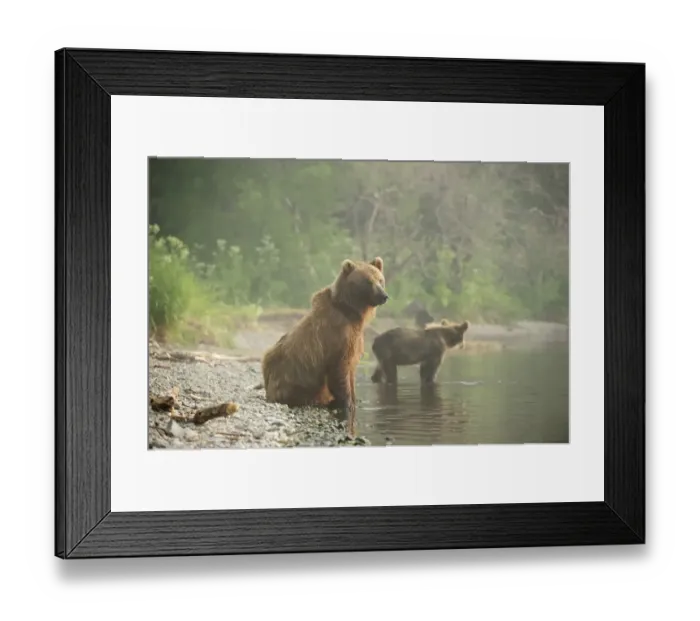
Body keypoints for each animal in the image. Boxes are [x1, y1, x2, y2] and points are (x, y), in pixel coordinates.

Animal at [261, 256, 388, 418]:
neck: (351, 312)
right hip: (292, 379)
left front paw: (354, 399)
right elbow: (340, 369)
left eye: (380, 280)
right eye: (367, 281)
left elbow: (351, 371)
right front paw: (347, 403)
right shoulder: (337, 337)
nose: (383, 296)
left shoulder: (355, 338)